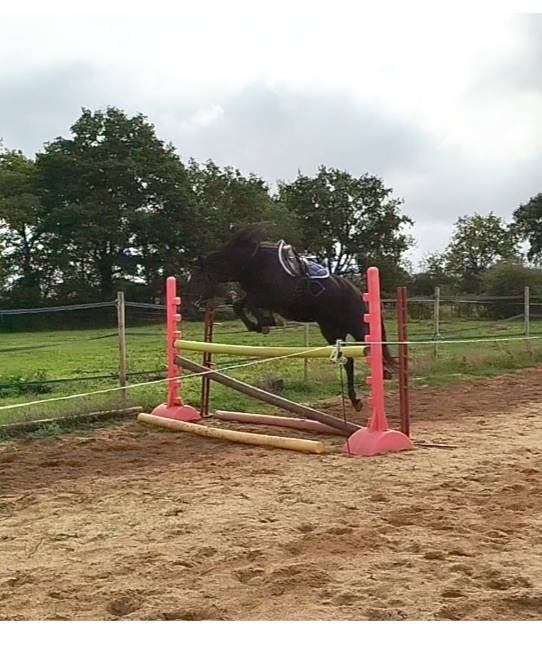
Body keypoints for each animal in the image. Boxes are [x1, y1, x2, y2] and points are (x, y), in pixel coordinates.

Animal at [194, 225, 395, 411]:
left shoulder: (273, 297)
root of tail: (358, 292)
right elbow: (240, 305)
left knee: (374, 346)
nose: (196, 303)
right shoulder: (259, 296)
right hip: (331, 331)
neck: (252, 263)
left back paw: (385, 373)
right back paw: (356, 400)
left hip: (357, 326)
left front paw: (267, 323)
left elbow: (248, 304)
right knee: (349, 361)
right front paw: (261, 325)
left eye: (198, 278)